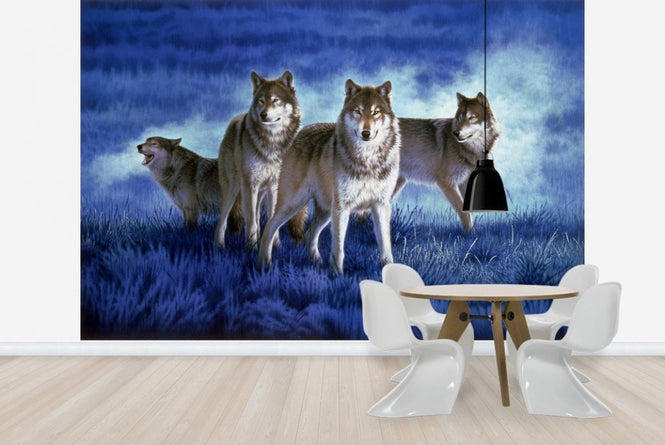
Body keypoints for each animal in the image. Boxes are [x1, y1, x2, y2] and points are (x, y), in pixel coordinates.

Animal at [216, 70, 303, 249]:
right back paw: (219, 245)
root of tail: (235, 119)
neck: (272, 143)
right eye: (261, 101)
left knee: (255, 216)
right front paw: (251, 247)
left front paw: (274, 245)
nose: (263, 114)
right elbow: (251, 222)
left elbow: (271, 220)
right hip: (233, 188)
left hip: (260, 191)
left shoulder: (274, 186)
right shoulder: (250, 185)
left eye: (276, 100)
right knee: (223, 220)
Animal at [258, 79, 401, 275]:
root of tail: (301, 132)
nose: (366, 133)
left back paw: (316, 262)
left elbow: (385, 245)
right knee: (269, 227)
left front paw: (389, 271)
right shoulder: (342, 207)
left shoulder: (381, 205)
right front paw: (336, 274)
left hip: (325, 210)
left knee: (309, 233)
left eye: (375, 113)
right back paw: (264, 263)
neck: (367, 161)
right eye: (357, 111)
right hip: (294, 203)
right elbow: (338, 248)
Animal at [397, 92, 500, 232]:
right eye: (460, 117)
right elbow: (463, 211)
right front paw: (470, 233)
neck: (466, 149)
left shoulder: (465, 182)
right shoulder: (446, 182)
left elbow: (469, 210)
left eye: (472, 117)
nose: (456, 133)